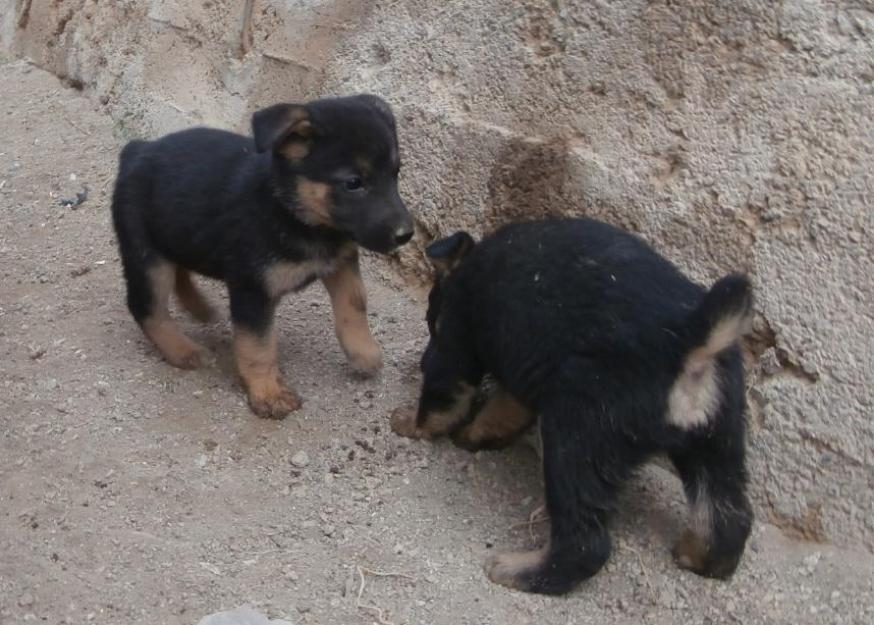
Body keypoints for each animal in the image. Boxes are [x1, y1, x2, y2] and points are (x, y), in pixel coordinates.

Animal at [112, 95, 412, 416]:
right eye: (353, 182)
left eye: (395, 174)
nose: (406, 234)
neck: (292, 213)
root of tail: (137, 149)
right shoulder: (252, 289)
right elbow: (258, 347)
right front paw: (268, 392)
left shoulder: (339, 262)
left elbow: (355, 304)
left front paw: (363, 352)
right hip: (148, 257)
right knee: (146, 307)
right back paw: (182, 349)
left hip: (175, 233)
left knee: (181, 269)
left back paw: (199, 307)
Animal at [392, 219, 752, 596]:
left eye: (432, 321)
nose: (420, 362)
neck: (469, 264)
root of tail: (692, 340)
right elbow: (503, 409)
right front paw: (473, 435)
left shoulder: (459, 333)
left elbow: (446, 393)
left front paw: (410, 424)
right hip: (718, 438)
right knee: (727, 514)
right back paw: (702, 558)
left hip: (582, 431)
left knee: (584, 542)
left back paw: (518, 570)